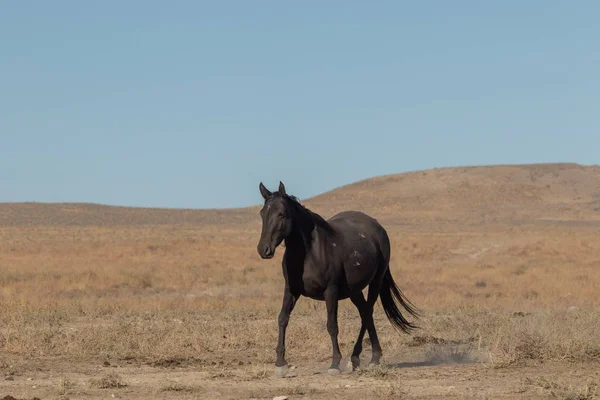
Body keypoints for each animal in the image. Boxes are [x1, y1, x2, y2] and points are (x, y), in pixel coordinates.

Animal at [255, 181, 420, 376]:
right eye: (262, 213)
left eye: (281, 214)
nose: (263, 249)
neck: (310, 252)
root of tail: (377, 226)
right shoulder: (291, 289)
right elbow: (282, 319)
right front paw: (280, 364)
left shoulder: (331, 291)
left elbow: (332, 325)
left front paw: (334, 363)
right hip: (354, 290)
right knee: (365, 312)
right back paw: (368, 357)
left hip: (376, 281)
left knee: (367, 313)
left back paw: (362, 358)